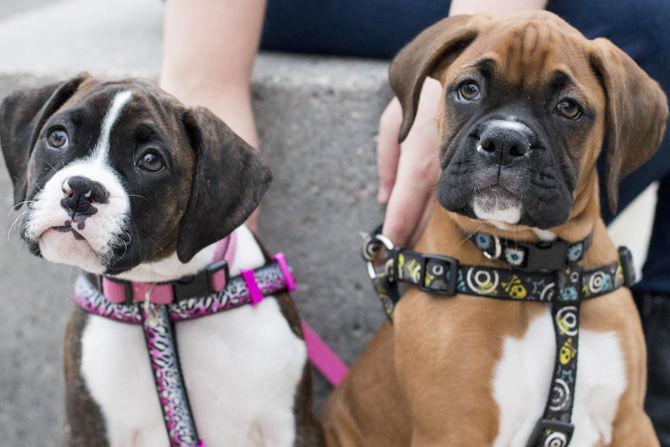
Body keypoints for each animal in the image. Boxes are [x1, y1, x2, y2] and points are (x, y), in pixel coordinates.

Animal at [0, 75, 326, 446]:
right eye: (57, 137)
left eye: (151, 160)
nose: (82, 190)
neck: (159, 295)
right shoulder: (86, 429)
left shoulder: (295, 427)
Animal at [322, 11, 668, 447]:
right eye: (468, 89)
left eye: (569, 108)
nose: (505, 141)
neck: (539, 272)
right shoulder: (454, 431)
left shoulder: (631, 423)